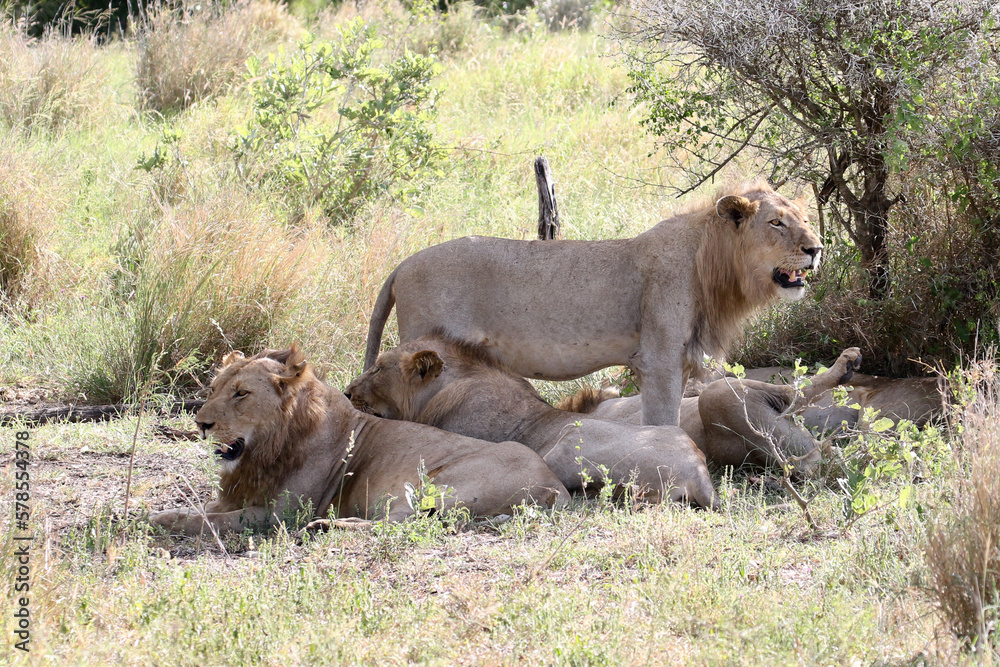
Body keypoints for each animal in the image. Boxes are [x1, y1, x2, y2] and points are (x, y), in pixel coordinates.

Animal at [150, 345, 569, 536]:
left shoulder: (280, 513)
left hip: (434, 487)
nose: (201, 423)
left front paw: (162, 518)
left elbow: (209, 520)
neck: (264, 451)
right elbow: (208, 508)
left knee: (400, 524)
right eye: (214, 389)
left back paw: (326, 526)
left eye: (241, 394)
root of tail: (555, 489)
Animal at [363, 179, 823, 427]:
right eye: (776, 223)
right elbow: (664, 421)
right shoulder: (658, 359)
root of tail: (402, 265)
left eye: (804, 218)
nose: (817, 249)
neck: (711, 262)